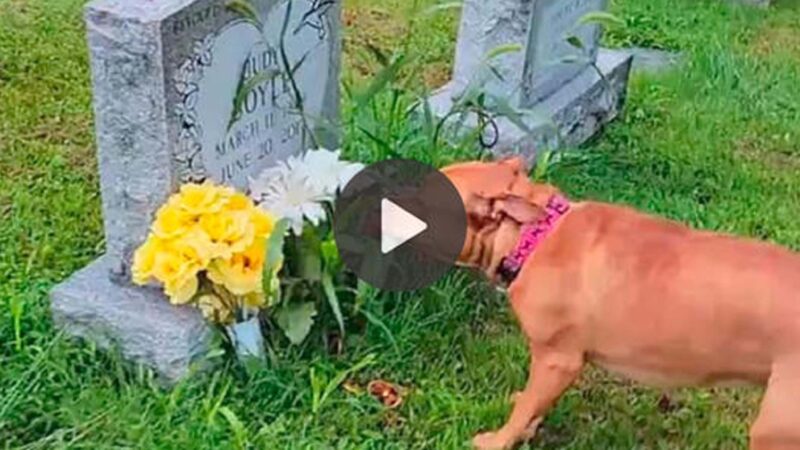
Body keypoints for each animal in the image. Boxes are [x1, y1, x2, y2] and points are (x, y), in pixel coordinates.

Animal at [440, 157, 796, 450]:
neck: (533, 236)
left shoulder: (557, 360)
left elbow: (524, 410)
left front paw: (498, 440)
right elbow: (532, 404)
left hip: (773, 432)